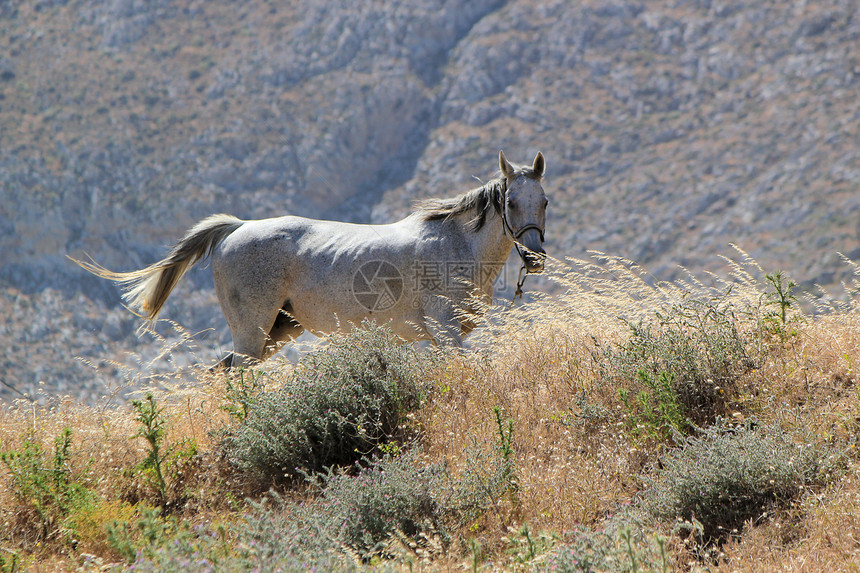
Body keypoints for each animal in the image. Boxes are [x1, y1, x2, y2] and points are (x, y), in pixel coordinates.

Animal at [72, 151, 544, 366]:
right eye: (511, 202)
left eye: (543, 201)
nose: (535, 256)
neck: (455, 245)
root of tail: (237, 228)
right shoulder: (445, 331)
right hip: (253, 331)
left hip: (278, 331)